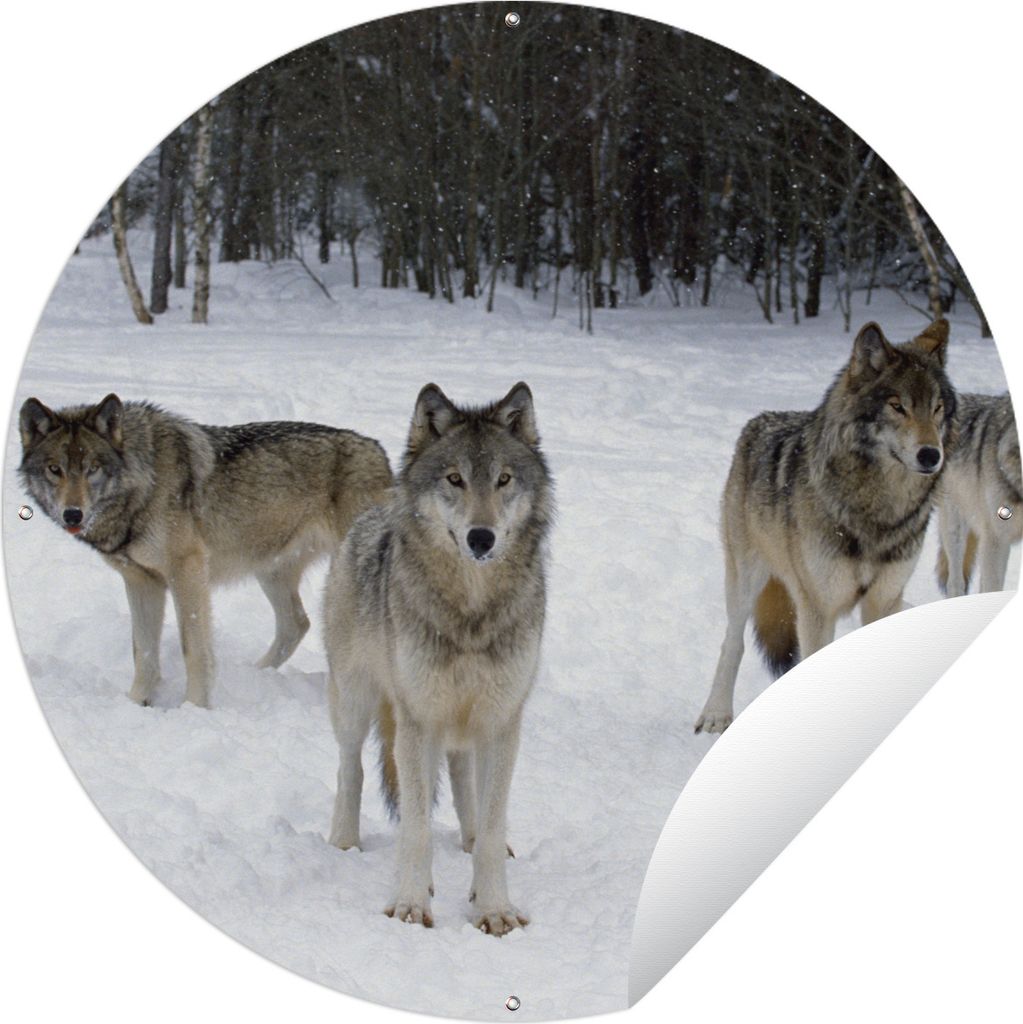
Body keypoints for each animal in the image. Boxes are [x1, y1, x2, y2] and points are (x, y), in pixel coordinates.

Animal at [18, 394, 393, 708]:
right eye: (55, 469)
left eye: (92, 468)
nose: (73, 514)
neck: (143, 484)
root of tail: (380, 452)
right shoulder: (141, 581)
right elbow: (143, 651)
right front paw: (137, 703)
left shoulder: (187, 571)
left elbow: (193, 650)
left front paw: (194, 708)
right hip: (270, 571)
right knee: (296, 623)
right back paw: (255, 674)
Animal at [323, 382, 553, 935]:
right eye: (454, 479)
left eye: (503, 479)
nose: (481, 537)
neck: (471, 610)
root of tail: (372, 512)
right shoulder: (418, 720)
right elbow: (416, 828)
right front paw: (410, 904)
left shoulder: (501, 720)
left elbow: (491, 825)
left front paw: (493, 908)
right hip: (356, 702)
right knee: (351, 768)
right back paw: (344, 843)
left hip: (462, 723)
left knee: (465, 781)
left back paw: (468, 843)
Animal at [695, 319, 955, 734]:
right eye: (898, 406)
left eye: (937, 408)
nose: (931, 455)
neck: (876, 511)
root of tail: (760, 420)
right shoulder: (818, 605)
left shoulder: (883, 599)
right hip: (746, 579)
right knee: (732, 642)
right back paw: (715, 714)